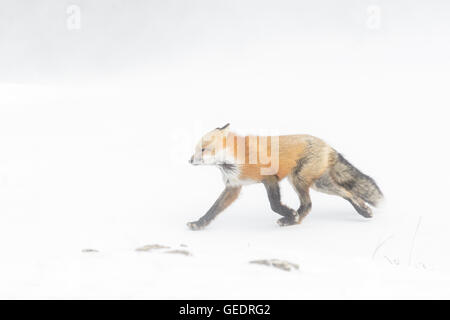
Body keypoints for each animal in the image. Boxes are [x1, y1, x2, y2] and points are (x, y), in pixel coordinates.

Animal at [188, 123, 382, 230]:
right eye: (196, 149)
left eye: (203, 149)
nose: (189, 160)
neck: (236, 159)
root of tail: (327, 145)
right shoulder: (233, 187)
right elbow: (214, 209)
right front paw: (199, 223)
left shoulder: (269, 178)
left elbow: (274, 204)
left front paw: (289, 213)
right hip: (316, 183)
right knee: (340, 195)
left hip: (302, 180)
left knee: (329, 198)